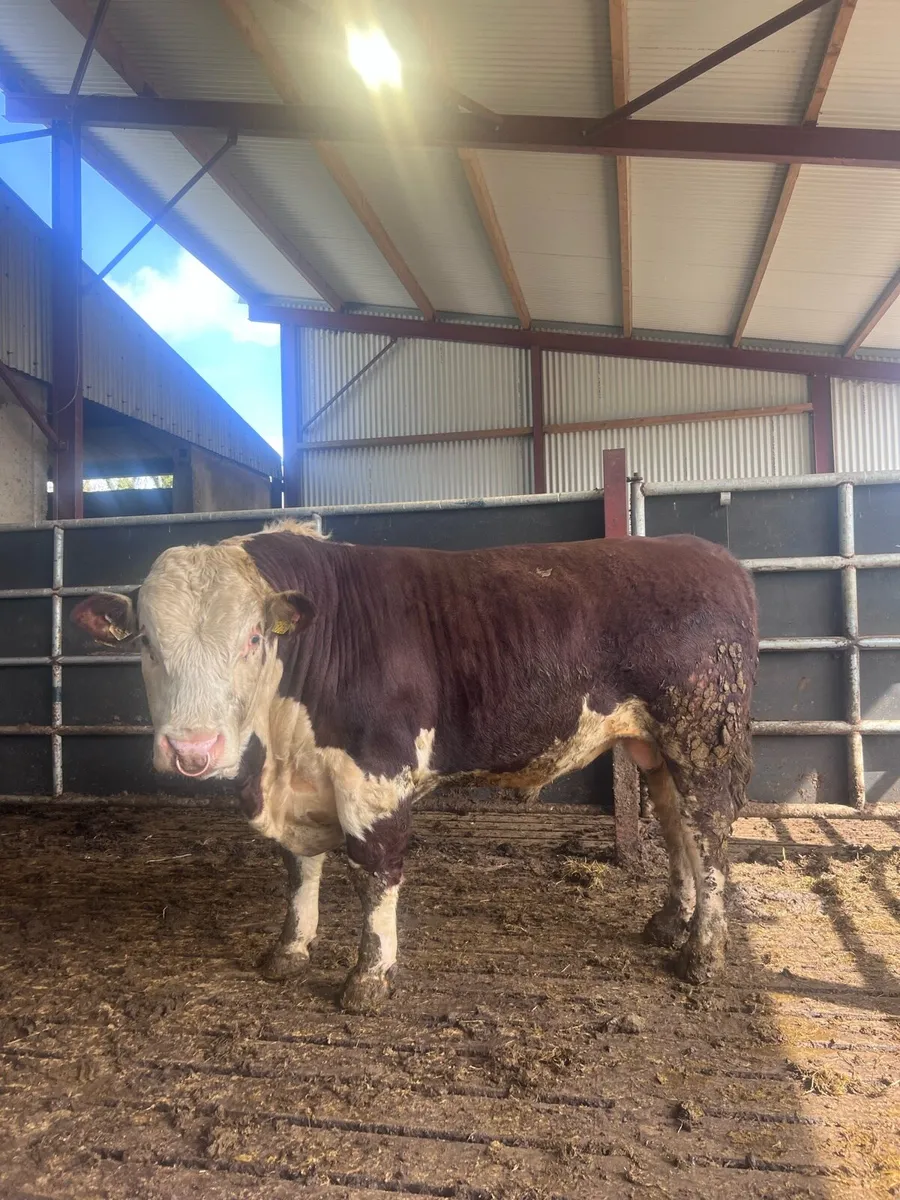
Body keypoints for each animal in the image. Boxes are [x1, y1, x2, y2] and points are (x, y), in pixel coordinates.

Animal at [71, 521, 757, 1014]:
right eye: (146, 642)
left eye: (252, 638)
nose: (193, 750)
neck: (280, 749)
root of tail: (707, 552)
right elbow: (299, 869)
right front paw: (288, 949)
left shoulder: (376, 774)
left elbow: (375, 872)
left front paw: (370, 978)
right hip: (655, 746)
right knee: (675, 826)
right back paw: (669, 922)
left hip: (702, 735)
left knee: (710, 833)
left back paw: (702, 954)